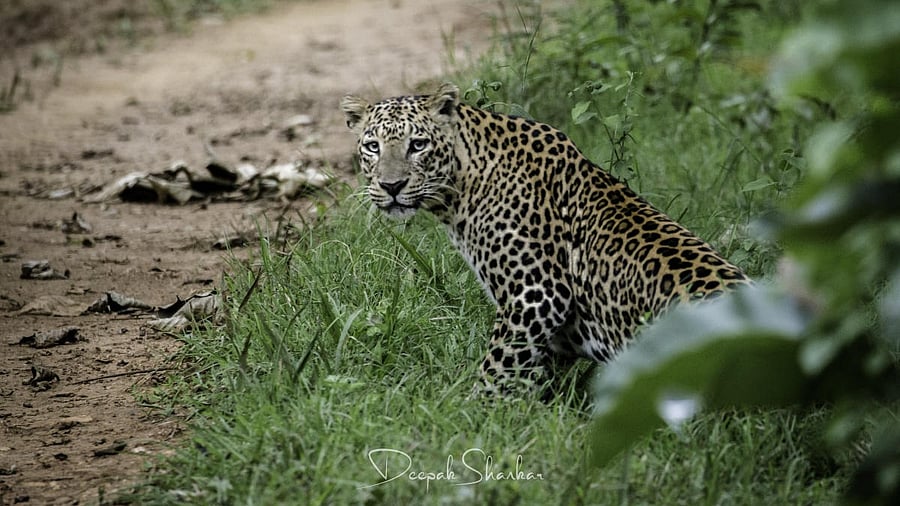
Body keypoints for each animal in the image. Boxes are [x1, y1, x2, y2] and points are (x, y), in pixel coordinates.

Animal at [340, 83, 750, 396]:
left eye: (418, 145)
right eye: (373, 146)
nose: (391, 186)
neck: (462, 184)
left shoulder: (538, 294)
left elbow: (497, 366)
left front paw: (471, 414)